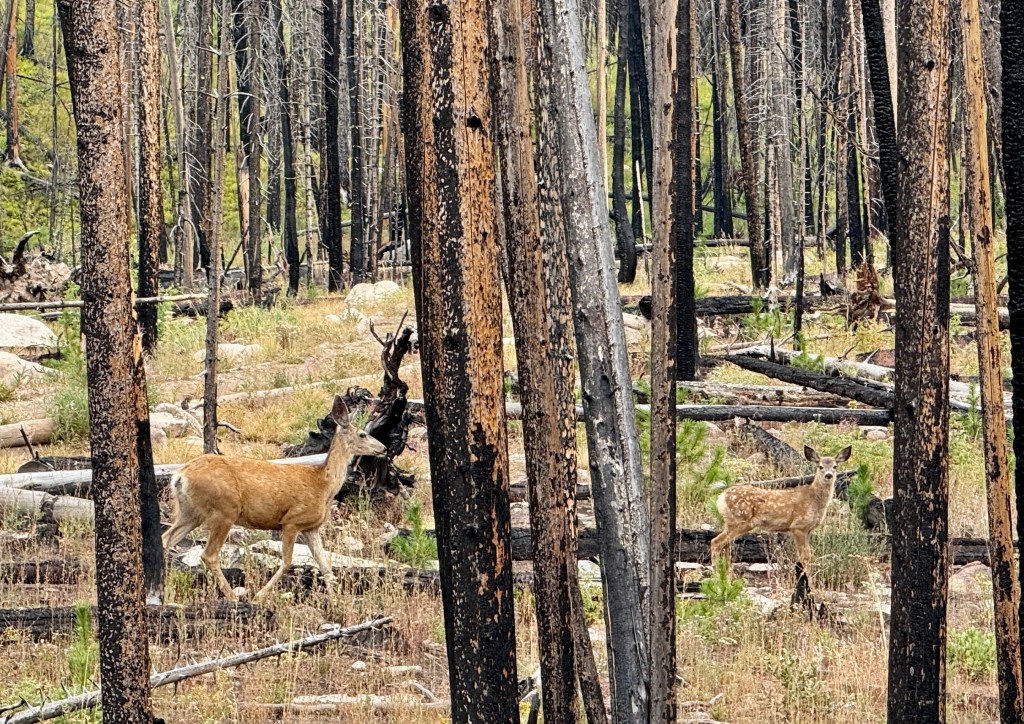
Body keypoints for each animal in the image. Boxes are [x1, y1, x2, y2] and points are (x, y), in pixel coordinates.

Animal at [161, 395, 387, 602]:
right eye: (362, 434)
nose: (383, 448)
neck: (324, 484)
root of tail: (179, 475)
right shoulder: (292, 521)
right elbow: (287, 562)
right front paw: (259, 596)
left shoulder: (311, 527)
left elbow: (325, 565)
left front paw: (337, 600)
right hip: (224, 510)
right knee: (209, 554)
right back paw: (232, 598)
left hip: (191, 512)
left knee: (165, 539)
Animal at [710, 444, 852, 585]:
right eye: (820, 466)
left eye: (835, 466)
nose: (828, 475)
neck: (814, 500)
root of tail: (721, 497)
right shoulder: (798, 526)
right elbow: (805, 557)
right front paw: (809, 583)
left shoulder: (808, 530)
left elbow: (810, 556)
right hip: (740, 521)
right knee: (715, 542)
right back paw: (717, 575)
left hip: (732, 522)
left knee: (724, 546)